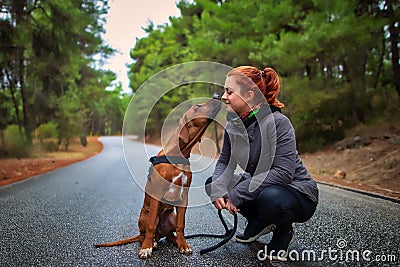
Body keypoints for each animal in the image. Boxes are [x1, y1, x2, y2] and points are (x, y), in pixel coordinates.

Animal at [95, 98, 223, 260]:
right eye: (198, 107)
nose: (218, 96)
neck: (178, 155)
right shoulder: (156, 195)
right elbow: (150, 227)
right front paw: (146, 249)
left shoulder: (184, 198)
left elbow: (181, 226)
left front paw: (183, 245)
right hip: (146, 216)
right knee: (144, 234)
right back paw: (151, 243)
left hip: (172, 216)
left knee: (169, 235)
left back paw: (174, 240)